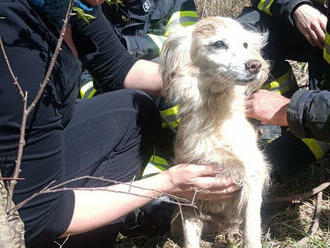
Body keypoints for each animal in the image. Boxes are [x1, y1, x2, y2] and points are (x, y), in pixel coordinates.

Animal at [160, 17, 270, 248]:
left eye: (245, 44)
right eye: (218, 43)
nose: (255, 65)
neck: (217, 118)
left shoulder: (253, 175)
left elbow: (252, 230)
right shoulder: (190, 195)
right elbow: (190, 238)